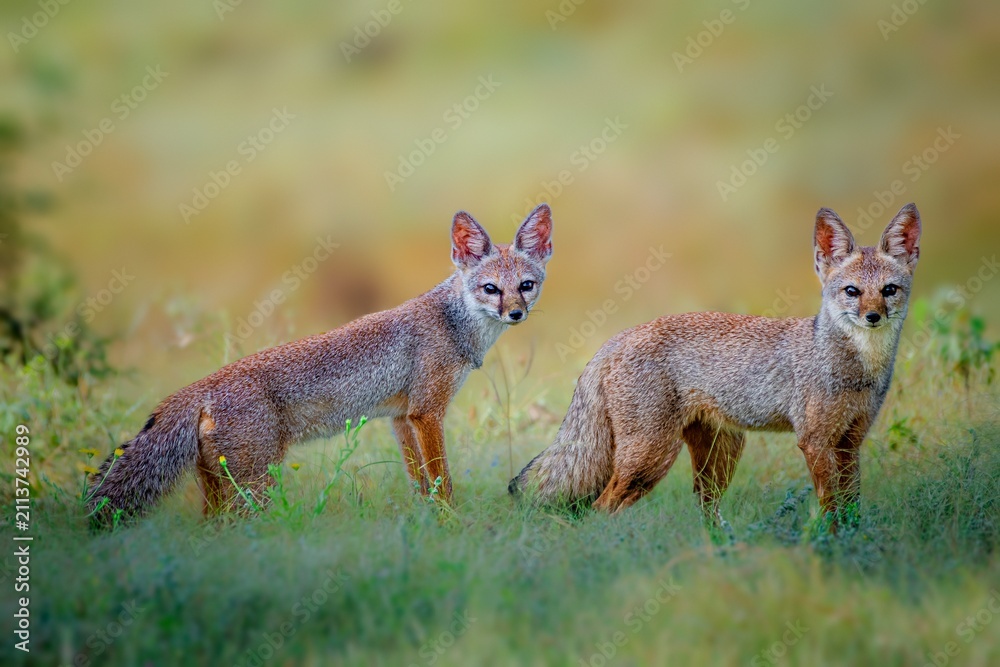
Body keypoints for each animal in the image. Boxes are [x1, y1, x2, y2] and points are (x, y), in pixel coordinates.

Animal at [87, 204, 553, 523]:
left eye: (526, 286)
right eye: (491, 289)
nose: (516, 314)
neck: (453, 323)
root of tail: (197, 389)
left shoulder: (402, 418)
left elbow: (420, 483)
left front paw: (430, 523)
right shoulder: (427, 413)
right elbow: (443, 483)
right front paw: (451, 524)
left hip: (227, 489)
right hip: (255, 486)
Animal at [510, 203, 921, 523]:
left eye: (889, 291)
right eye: (852, 292)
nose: (873, 317)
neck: (857, 369)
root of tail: (618, 337)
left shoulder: (849, 443)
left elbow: (852, 509)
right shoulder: (816, 441)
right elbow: (832, 510)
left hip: (718, 457)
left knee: (706, 514)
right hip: (650, 459)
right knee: (600, 509)